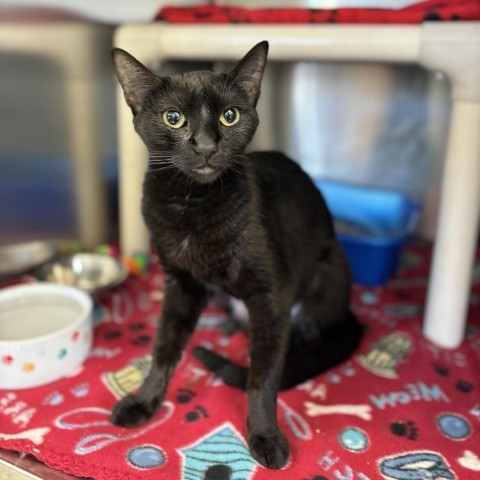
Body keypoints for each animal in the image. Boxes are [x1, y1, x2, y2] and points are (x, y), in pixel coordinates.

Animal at [110, 41, 362, 468]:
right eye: (173, 118)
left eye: (230, 116)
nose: (206, 146)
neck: (192, 205)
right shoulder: (182, 284)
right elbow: (163, 348)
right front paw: (143, 402)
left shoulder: (270, 298)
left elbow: (262, 379)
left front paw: (264, 437)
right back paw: (226, 325)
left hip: (330, 266)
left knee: (304, 332)